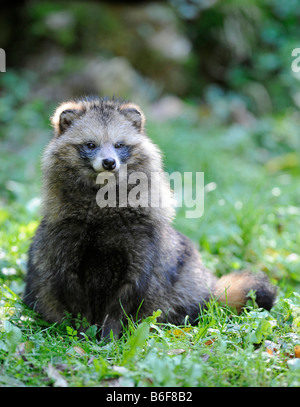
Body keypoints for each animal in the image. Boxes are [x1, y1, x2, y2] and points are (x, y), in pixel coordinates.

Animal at [23, 96, 276, 338]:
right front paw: (83, 334)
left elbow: (124, 299)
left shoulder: (142, 245)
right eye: (90, 144)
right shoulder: (64, 243)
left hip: (185, 281)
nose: (109, 162)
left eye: (120, 144)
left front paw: (109, 335)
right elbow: (74, 296)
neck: (103, 202)